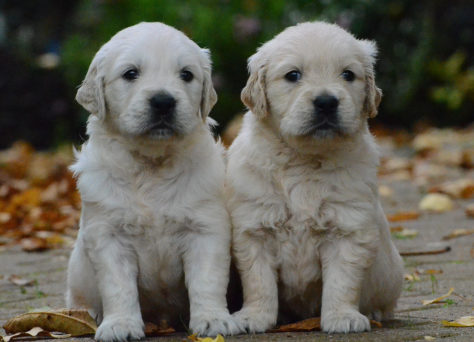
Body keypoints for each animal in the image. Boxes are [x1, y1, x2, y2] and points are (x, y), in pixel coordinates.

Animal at [65, 22, 239, 340]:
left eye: (186, 74)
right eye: (130, 73)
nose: (163, 101)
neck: (151, 165)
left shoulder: (205, 229)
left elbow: (207, 280)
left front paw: (213, 320)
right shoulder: (109, 236)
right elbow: (118, 286)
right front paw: (120, 324)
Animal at [227, 22, 404, 334]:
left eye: (348, 74)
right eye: (293, 75)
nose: (326, 102)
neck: (304, 161)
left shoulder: (348, 229)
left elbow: (341, 282)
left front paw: (343, 317)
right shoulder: (254, 228)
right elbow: (258, 282)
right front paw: (253, 317)